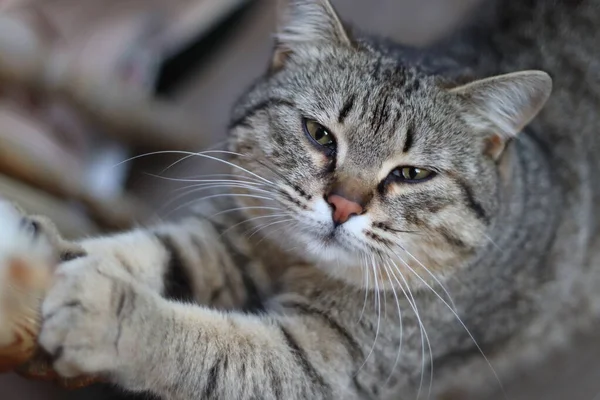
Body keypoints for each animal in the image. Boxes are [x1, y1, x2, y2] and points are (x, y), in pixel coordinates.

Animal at [1, 0, 600, 398]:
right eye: (319, 134)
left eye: (411, 174)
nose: (343, 205)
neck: (294, 263)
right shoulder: (230, 240)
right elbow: (154, 250)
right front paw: (46, 251)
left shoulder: (327, 363)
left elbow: (213, 347)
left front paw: (107, 311)